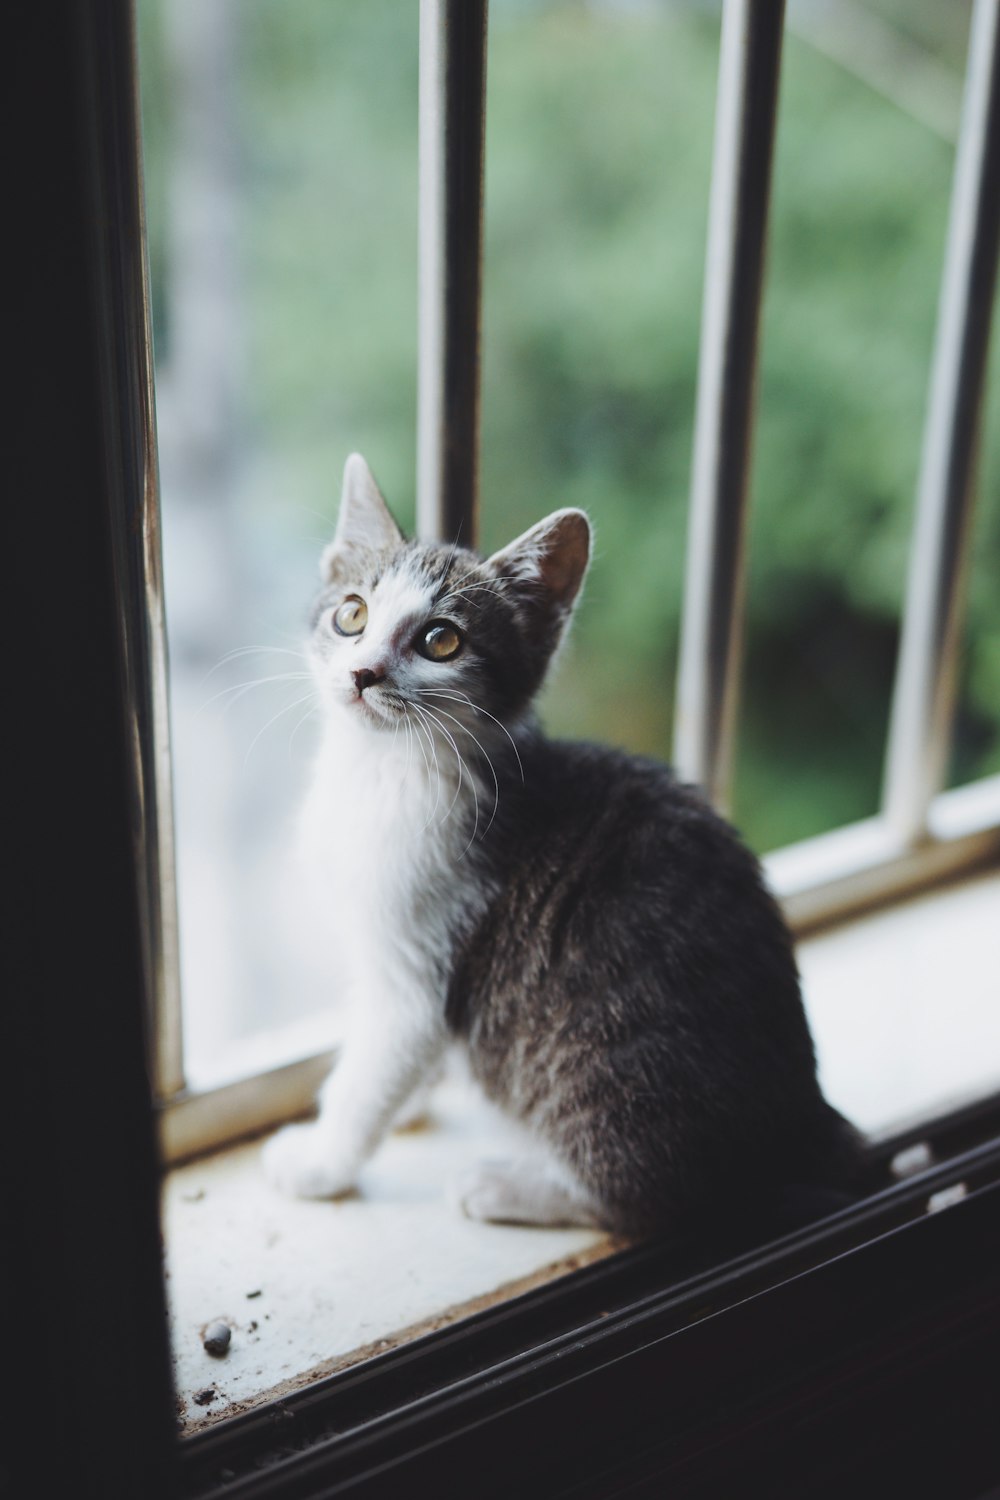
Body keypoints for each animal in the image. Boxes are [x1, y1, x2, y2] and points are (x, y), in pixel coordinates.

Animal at [262, 450, 863, 1236]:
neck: (382, 772)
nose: (364, 674)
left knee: (651, 1197)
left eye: (441, 640)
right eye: (352, 613)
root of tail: (803, 1115)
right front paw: (414, 1103)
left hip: (612, 1077)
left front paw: (323, 1160)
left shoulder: (421, 961)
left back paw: (508, 1186)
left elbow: (373, 1069)